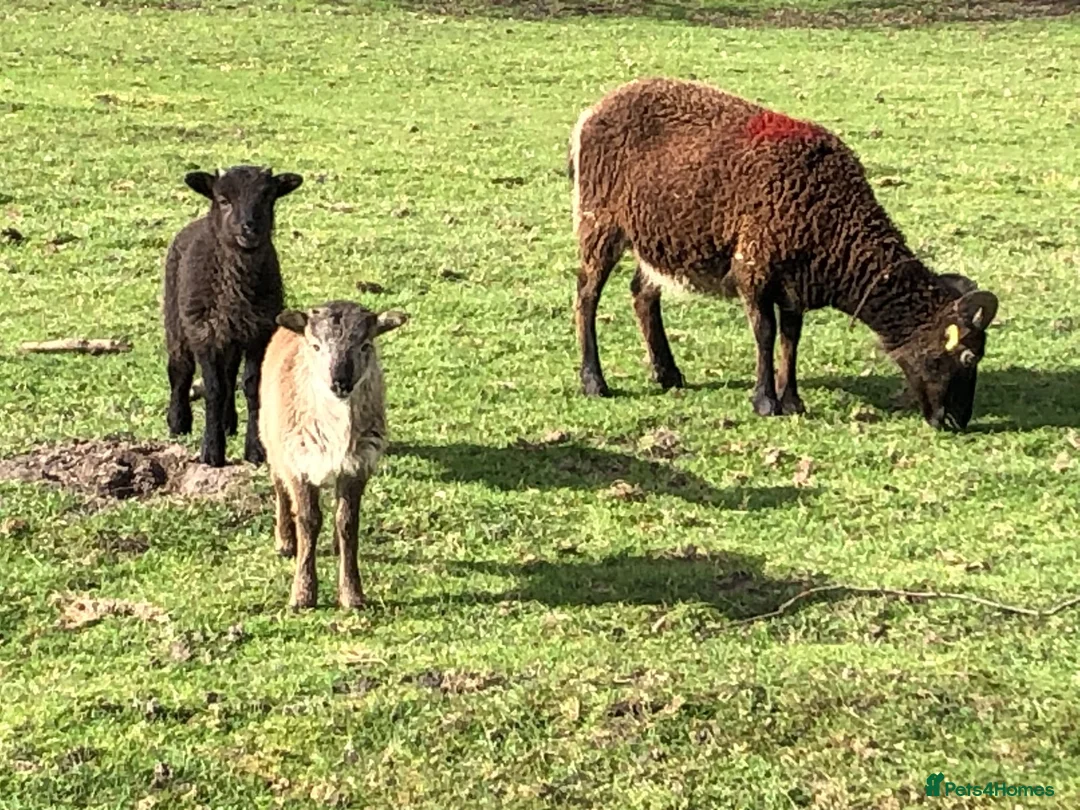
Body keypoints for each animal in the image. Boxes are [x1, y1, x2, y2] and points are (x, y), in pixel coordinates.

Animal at [164, 165, 303, 467]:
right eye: (223, 200)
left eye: (267, 197)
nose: (248, 228)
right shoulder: (204, 332)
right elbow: (213, 389)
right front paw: (211, 451)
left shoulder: (259, 332)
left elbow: (250, 386)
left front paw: (255, 450)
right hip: (176, 319)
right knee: (180, 370)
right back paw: (178, 422)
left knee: (228, 375)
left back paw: (228, 423)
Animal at [258, 300, 408, 609]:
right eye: (315, 346)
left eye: (365, 345)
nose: (340, 382)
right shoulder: (298, 463)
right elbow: (308, 520)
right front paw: (303, 595)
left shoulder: (358, 465)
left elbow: (347, 522)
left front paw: (352, 595)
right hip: (270, 436)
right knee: (279, 486)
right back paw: (285, 541)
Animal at [569, 78, 999, 430]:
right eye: (967, 357)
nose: (954, 422)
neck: (836, 223)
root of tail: (591, 113)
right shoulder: (753, 267)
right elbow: (765, 332)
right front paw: (765, 402)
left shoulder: (795, 285)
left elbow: (791, 338)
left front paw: (792, 401)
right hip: (598, 220)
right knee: (587, 294)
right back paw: (594, 381)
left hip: (655, 238)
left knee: (642, 293)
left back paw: (668, 375)